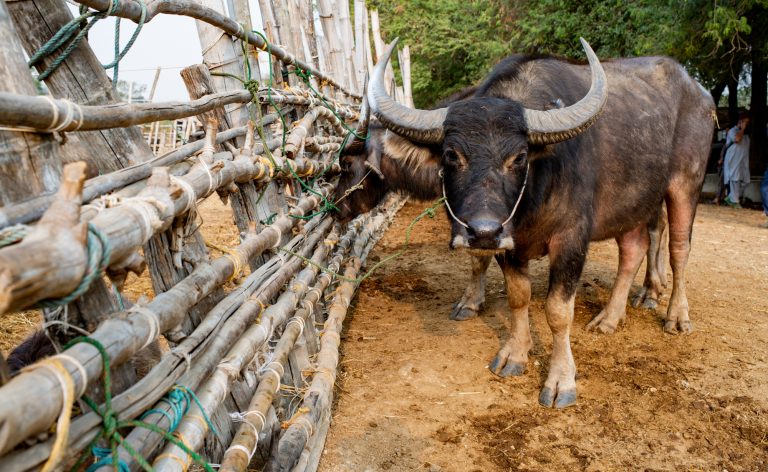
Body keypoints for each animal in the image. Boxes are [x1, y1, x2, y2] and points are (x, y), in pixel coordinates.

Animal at [336, 37, 712, 408]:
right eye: (451, 155)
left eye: (518, 158)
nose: (336, 206)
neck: (534, 194)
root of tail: (699, 93)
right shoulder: (504, 240)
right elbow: (518, 296)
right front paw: (514, 353)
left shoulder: (571, 239)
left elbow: (557, 310)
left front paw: (561, 380)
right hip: (632, 200)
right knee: (634, 248)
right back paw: (610, 317)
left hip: (684, 184)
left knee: (678, 247)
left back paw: (674, 313)